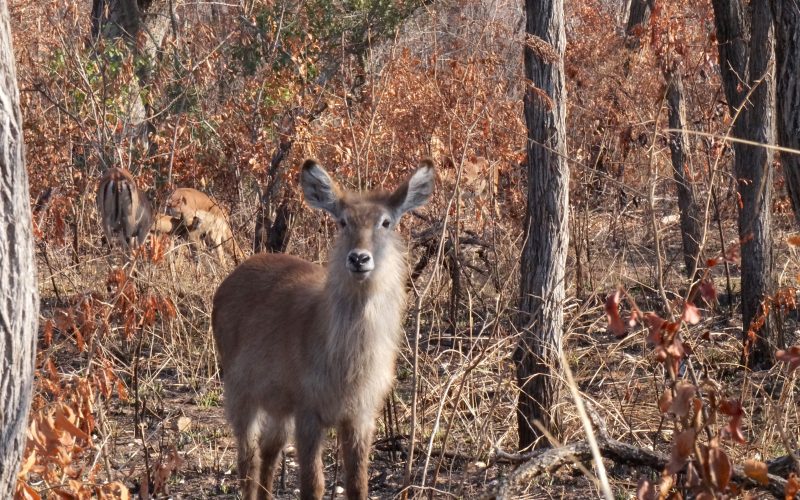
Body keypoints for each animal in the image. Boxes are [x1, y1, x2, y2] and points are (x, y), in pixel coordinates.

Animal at [212, 160, 434, 500]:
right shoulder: (308, 414)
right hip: (242, 396)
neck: (347, 358)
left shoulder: (360, 417)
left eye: (386, 222)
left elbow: (357, 485)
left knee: (268, 453)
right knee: (247, 463)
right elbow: (312, 485)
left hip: (278, 407)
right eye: (342, 221)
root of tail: (233, 276)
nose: (359, 258)